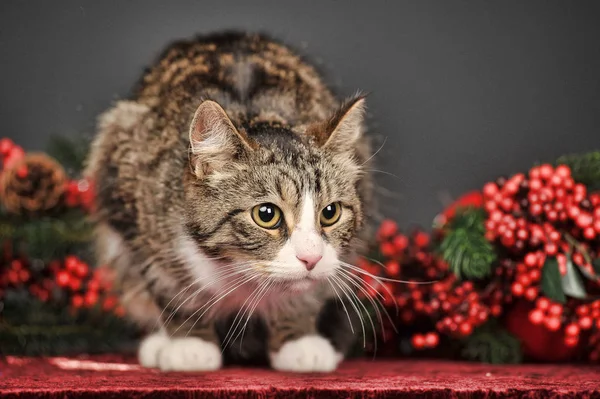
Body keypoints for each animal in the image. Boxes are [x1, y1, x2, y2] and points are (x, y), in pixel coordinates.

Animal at [86, 32, 372, 374]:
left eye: (330, 212)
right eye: (266, 214)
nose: (311, 258)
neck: (241, 270)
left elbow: (307, 292)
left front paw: (297, 338)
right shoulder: (131, 201)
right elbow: (166, 284)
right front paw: (190, 343)